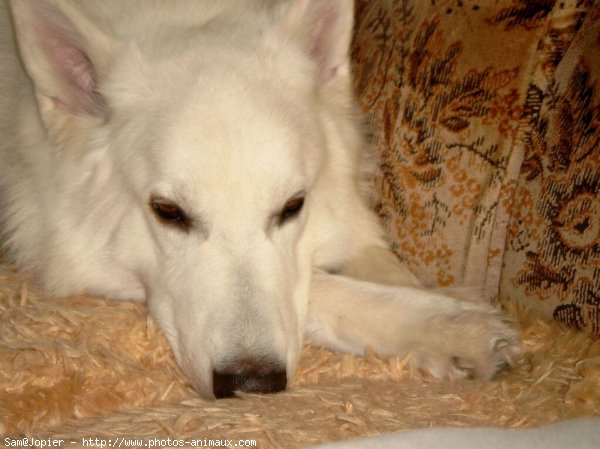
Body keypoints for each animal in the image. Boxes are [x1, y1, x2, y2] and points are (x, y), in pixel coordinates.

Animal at [0, 0, 520, 400]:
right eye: (168, 213)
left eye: (292, 206)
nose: (253, 384)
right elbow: (327, 288)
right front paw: (455, 325)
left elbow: (377, 263)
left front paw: (442, 310)